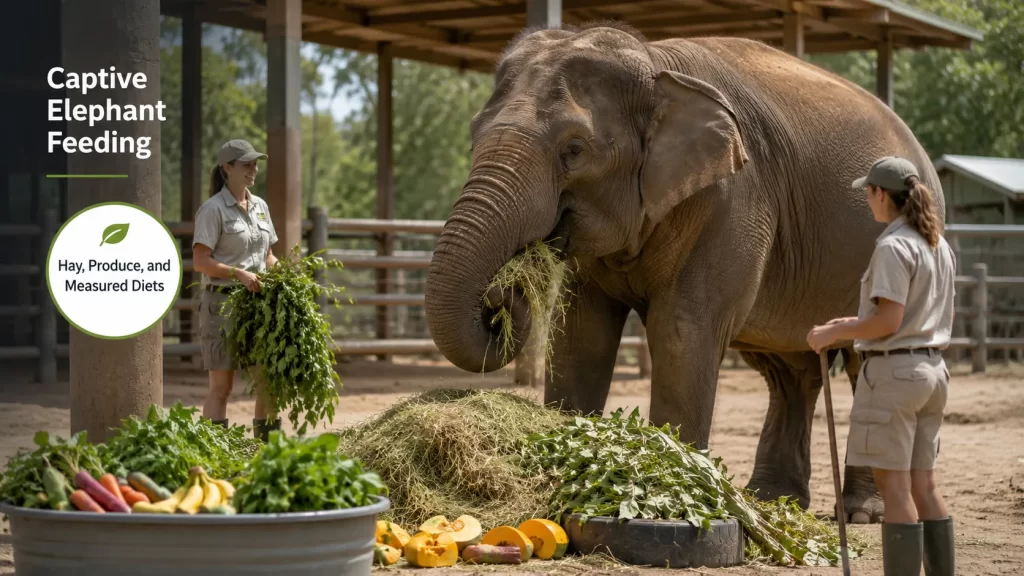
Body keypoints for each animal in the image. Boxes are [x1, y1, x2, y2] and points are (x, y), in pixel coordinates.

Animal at [423, 22, 945, 524]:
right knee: (788, 373)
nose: (501, 297)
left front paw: (671, 488)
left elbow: (682, 330)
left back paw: (861, 513)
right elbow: (580, 335)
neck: (654, 63)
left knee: (865, 364)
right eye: (474, 134)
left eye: (574, 150)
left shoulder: (732, 198)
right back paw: (772, 500)